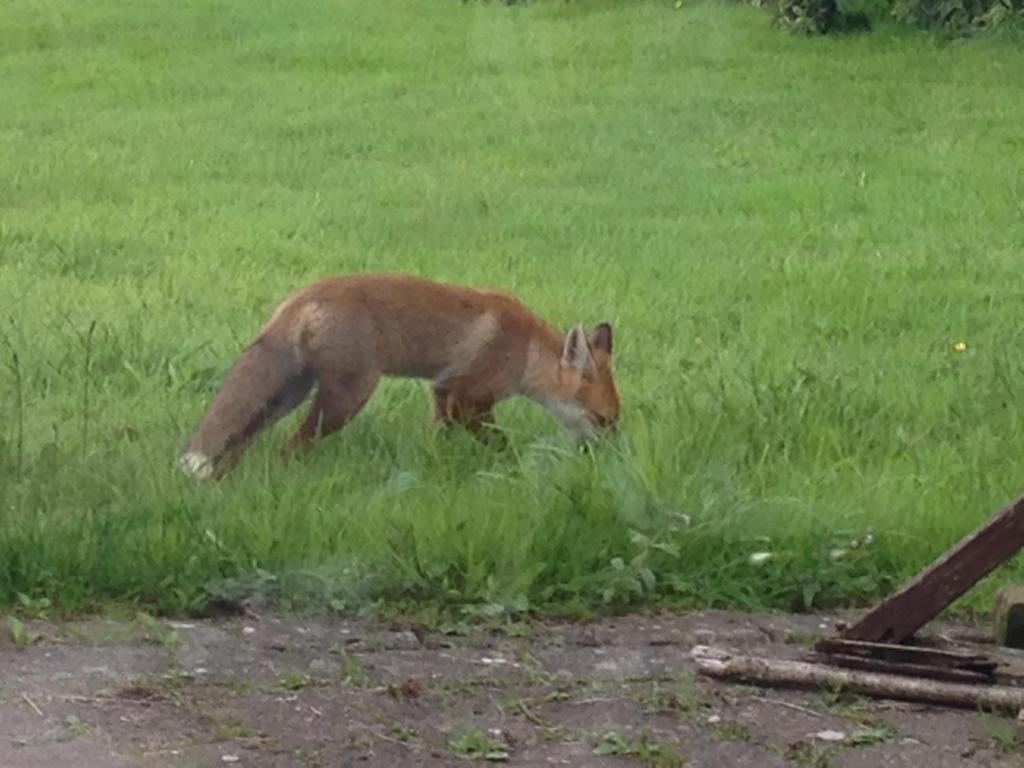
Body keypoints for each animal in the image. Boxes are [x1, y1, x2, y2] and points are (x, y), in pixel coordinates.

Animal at [180, 272, 618, 481]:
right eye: (601, 420)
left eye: (616, 421)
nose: (606, 461)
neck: (525, 350)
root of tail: (299, 299)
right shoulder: (470, 398)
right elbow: (501, 444)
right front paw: (514, 470)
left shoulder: (442, 391)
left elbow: (441, 440)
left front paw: (441, 469)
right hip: (346, 398)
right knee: (288, 448)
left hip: (287, 395)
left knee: (240, 440)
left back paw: (223, 481)